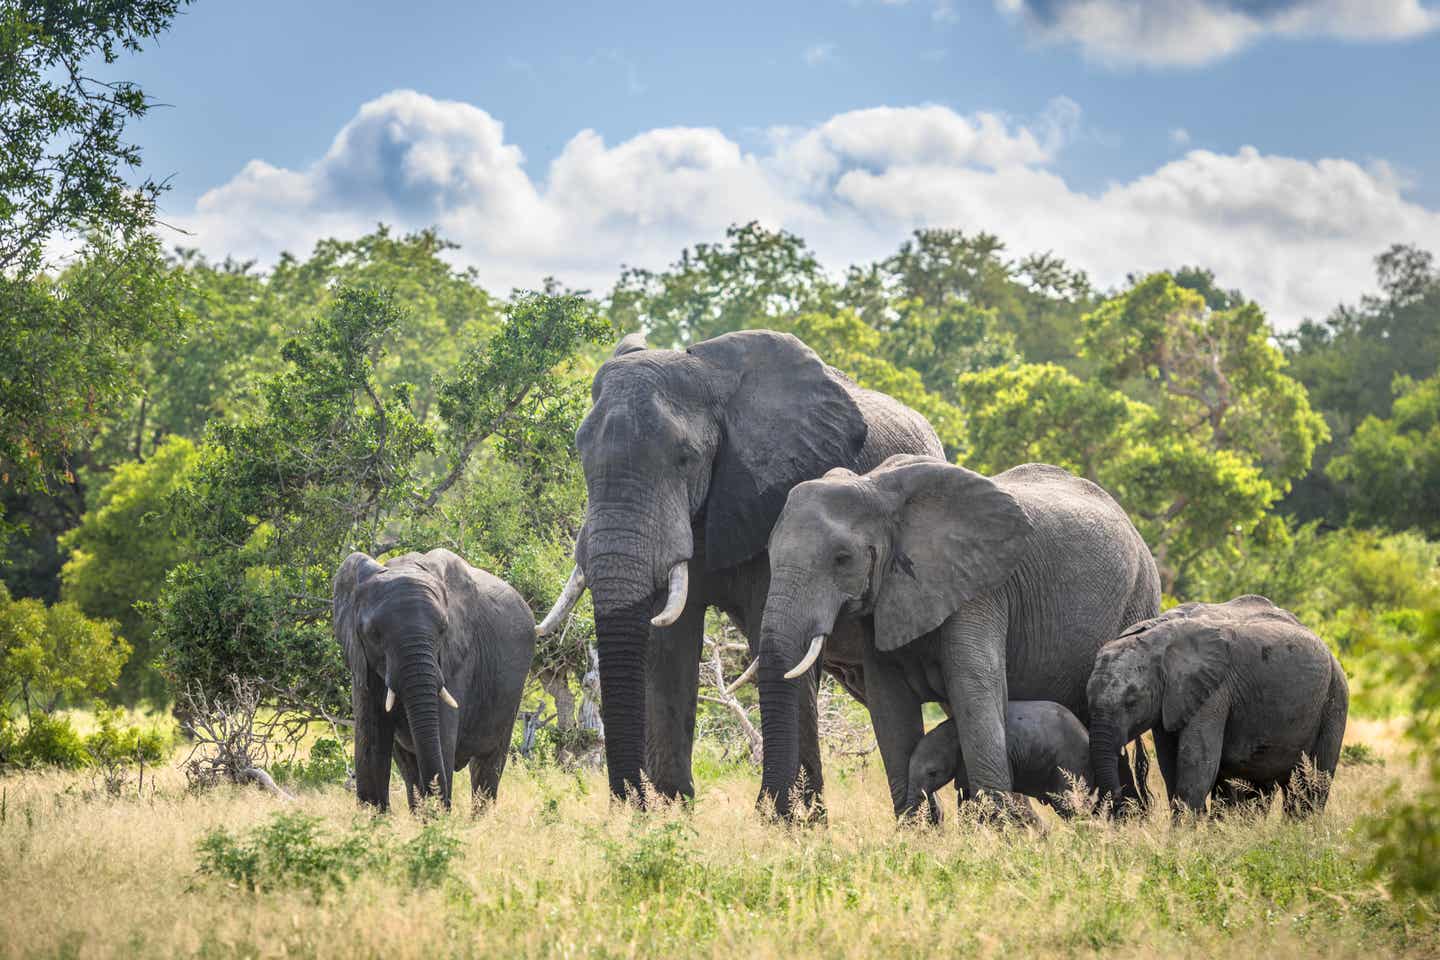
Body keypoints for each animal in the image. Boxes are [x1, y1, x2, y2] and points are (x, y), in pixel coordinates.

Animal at [329, 546, 535, 811]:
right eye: (373, 634)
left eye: (443, 629)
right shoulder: (361, 662)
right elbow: (371, 743)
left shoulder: (457, 657)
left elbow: (442, 737)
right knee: (409, 769)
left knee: (487, 765)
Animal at [535, 331, 938, 805]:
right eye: (581, 453)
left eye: (685, 458)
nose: (632, 802)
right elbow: (669, 646)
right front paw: (672, 810)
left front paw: (790, 816)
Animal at [1088, 592, 1347, 817]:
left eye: (1131, 702)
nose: (1118, 800)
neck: (1157, 634)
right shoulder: (1171, 700)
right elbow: (1169, 763)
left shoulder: (1214, 691)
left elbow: (1196, 763)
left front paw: (1182, 835)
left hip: (1334, 700)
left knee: (1310, 785)